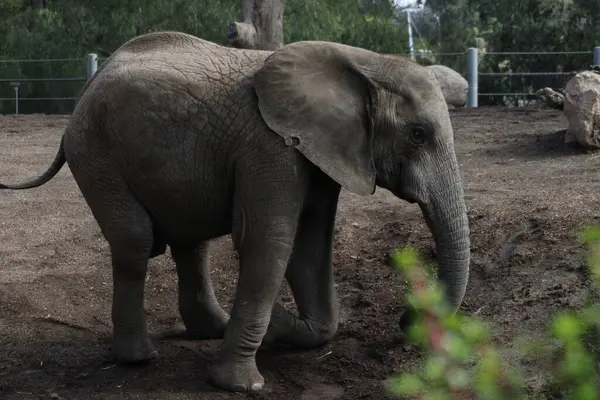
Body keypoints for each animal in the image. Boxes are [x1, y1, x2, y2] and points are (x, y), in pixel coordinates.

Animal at [0, 31, 468, 394]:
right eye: (418, 134)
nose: (406, 319)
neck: (364, 62)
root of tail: (87, 89)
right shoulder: (271, 147)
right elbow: (270, 241)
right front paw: (242, 383)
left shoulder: (319, 152)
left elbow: (310, 244)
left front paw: (277, 328)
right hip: (96, 154)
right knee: (135, 242)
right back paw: (139, 358)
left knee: (191, 241)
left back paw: (211, 328)